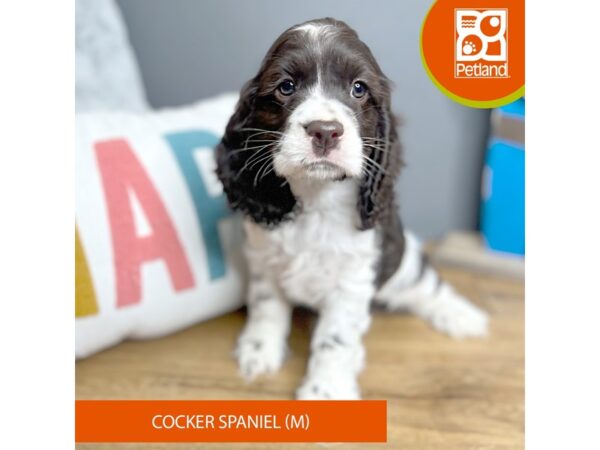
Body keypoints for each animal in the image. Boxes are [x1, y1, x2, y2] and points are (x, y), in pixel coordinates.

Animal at [216, 17, 488, 400]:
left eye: (359, 89)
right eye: (286, 86)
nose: (325, 131)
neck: (317, 200)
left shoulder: (353, 280)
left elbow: (335, 339)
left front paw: (325, 391)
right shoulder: (263, 259)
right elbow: (267, 305)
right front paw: (259, 351)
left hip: (402, 262)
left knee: (426, 283)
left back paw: (461, 316)